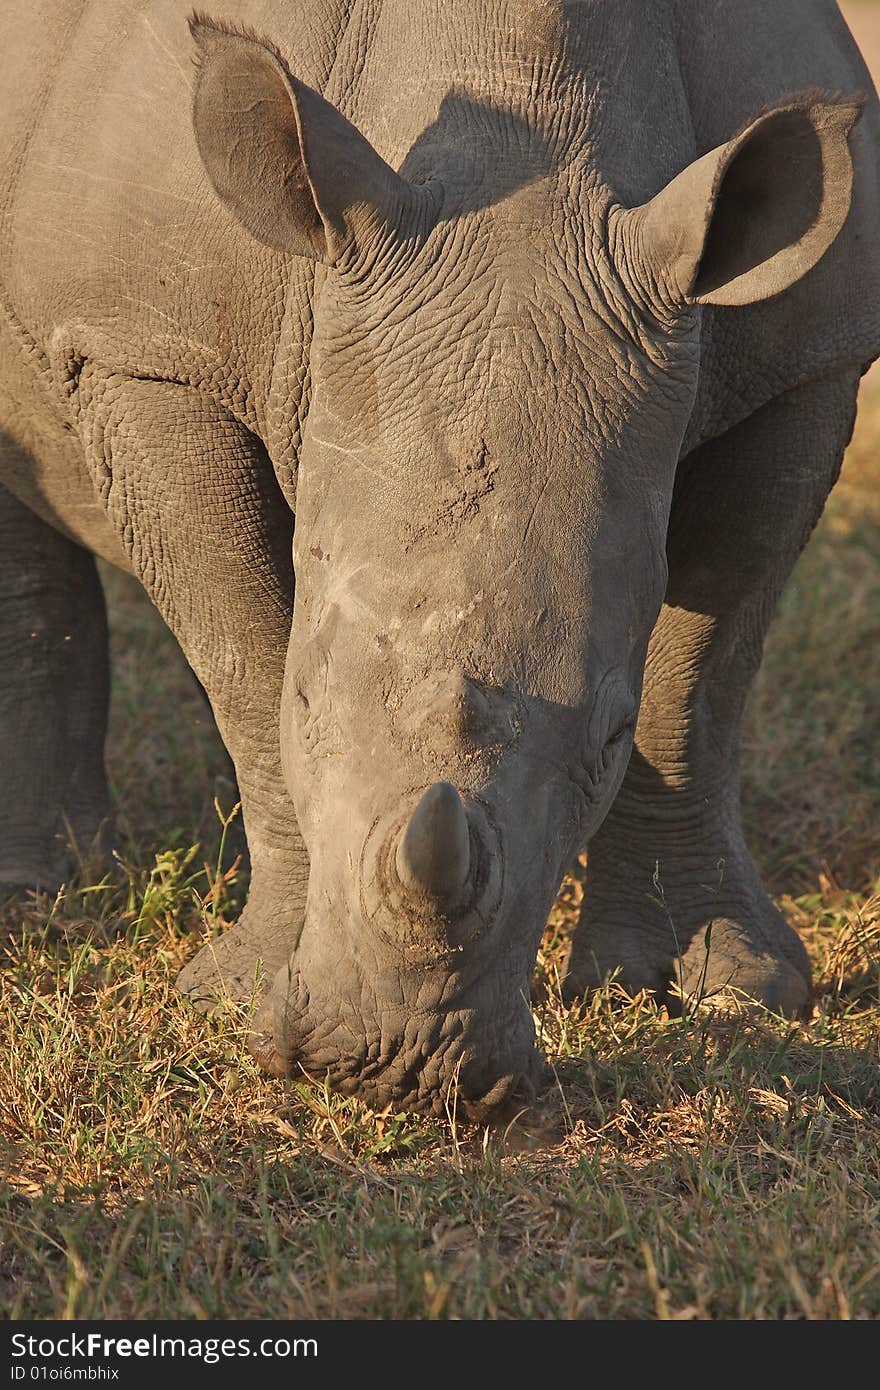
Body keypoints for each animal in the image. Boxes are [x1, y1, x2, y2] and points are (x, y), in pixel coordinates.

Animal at [1, 0, 878, 1106]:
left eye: (605, 739)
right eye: (306, 703)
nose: (396, 1066)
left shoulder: (805, 361)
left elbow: (701, 675)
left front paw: (725, 992)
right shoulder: (141, 347)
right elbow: (240, 651)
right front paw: (239, 996)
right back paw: (42, 900)